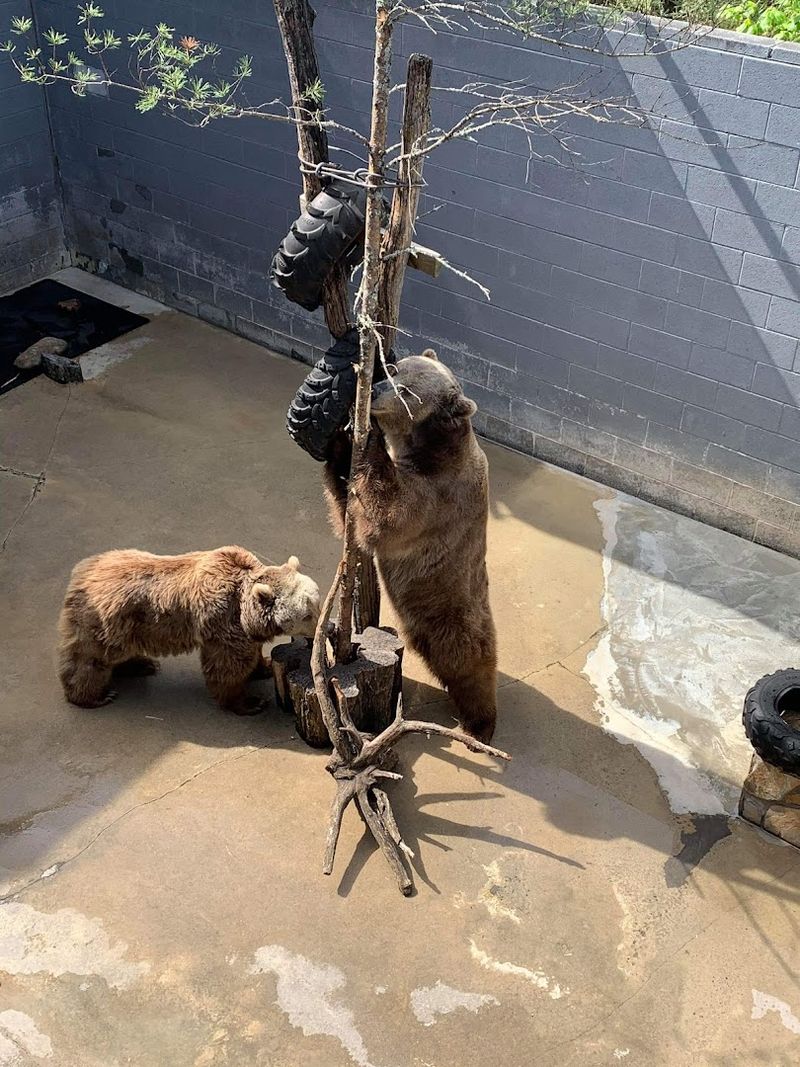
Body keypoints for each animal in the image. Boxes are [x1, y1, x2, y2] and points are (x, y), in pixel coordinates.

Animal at [57, 546, 320, 715]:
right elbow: (227, 665)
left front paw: (263, 666)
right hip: (106, 621)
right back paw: (95, 696)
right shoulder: (223, 621)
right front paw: (250, 702)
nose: (318, 631)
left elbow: (250, 652)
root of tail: (80, 572)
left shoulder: (244, 628)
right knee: (90, 658)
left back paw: (142, 664)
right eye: (306, 615)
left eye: (317, 605)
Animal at [323, 349, 498, 742]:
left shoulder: (439, 495)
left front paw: (367, 438)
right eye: (393, 368)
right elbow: (347, 508)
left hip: (453, 609)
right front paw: (341, 436)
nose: (373, 391)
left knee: (469, 662)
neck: (430, 447)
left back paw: (481, 723)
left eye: (405, 391)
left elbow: (386, 519)